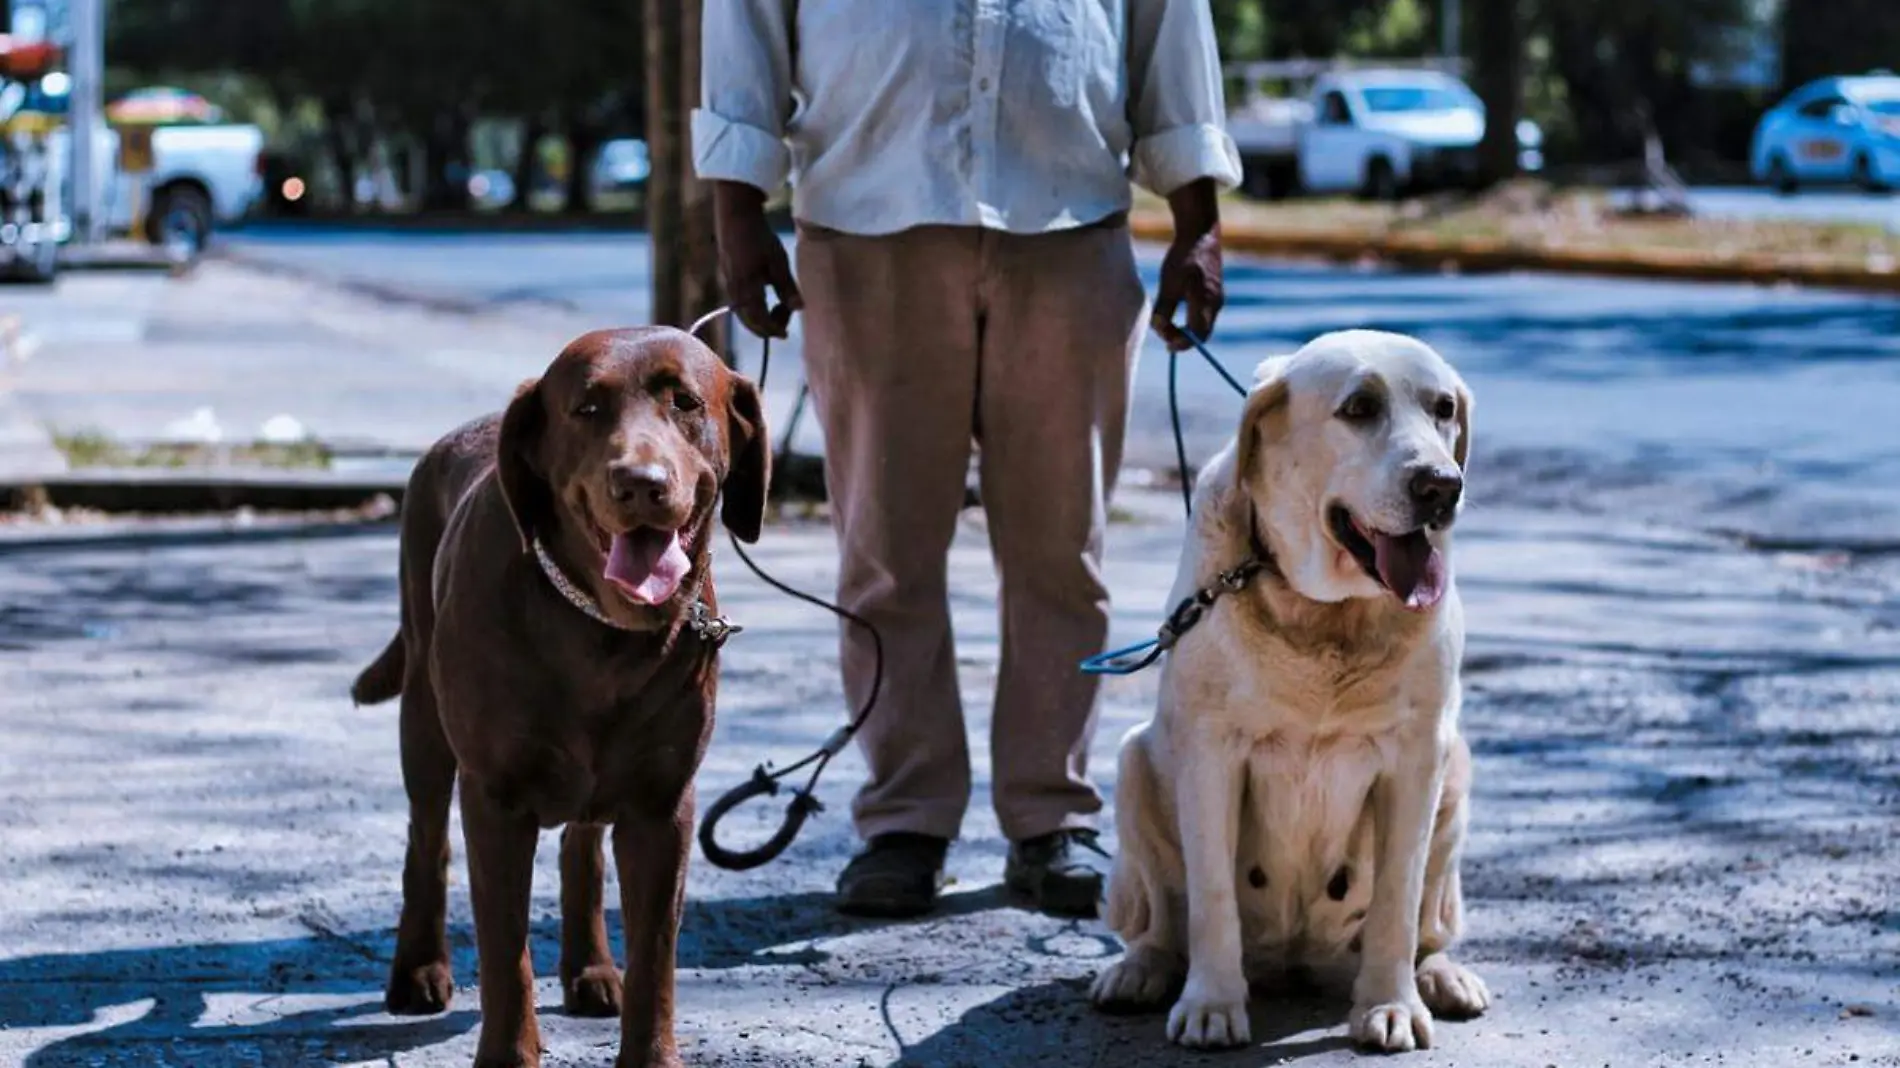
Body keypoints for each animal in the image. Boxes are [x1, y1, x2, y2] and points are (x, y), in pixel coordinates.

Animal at [353, 326, 767, 1064]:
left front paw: (650, 1051)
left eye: (687, 402)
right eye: (587, 409)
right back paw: (419, 969)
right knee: (427, 837)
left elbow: (655, 955)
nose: (640, 483)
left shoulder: (663, 806)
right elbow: (504, 950)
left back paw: (591, 969)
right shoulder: (495, 800)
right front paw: (506, 1052)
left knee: (583, 847)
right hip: (423, 716)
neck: (600, 629)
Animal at [1102, 330, 1482, 1048]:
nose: (1442, 486)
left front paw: (1389, 1004)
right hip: (1133, 760)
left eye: (1444, 408)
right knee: (1159, 918)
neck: (1326, 617)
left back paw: (1441, 974)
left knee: (1429, 921)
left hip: (1458, 770)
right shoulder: (1212, 752)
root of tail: (1296, 959)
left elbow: (1398, 897)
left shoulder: (1418, 756)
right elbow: (1211, 898)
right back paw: (1141, 969)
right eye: (1359, 407)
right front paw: (1212, 1004)